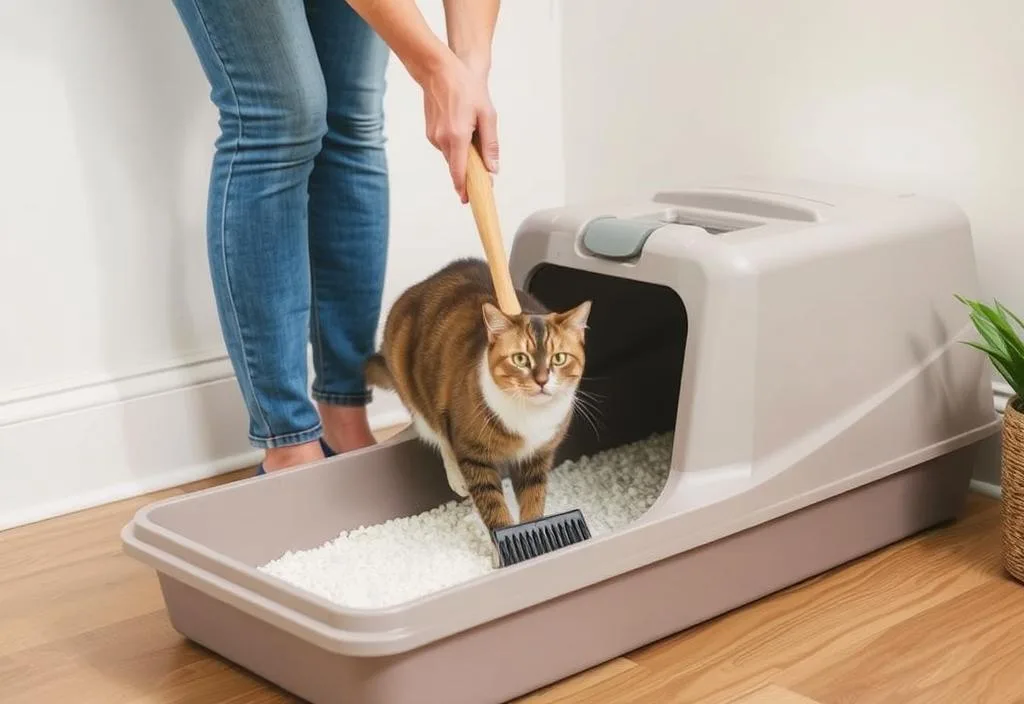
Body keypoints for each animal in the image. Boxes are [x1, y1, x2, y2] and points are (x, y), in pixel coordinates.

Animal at [368, 255, 593, 532]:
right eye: (520, 359)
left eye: (559, 358)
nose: (541, 380)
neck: (529, 417)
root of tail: (423, 284)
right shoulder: (473, 454)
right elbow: (492, 503)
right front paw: (506, 536)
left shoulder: (537, 456)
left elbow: (533, 498)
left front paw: (535, 529)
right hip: (416, 391)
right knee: (439, 433)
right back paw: (457, 478)